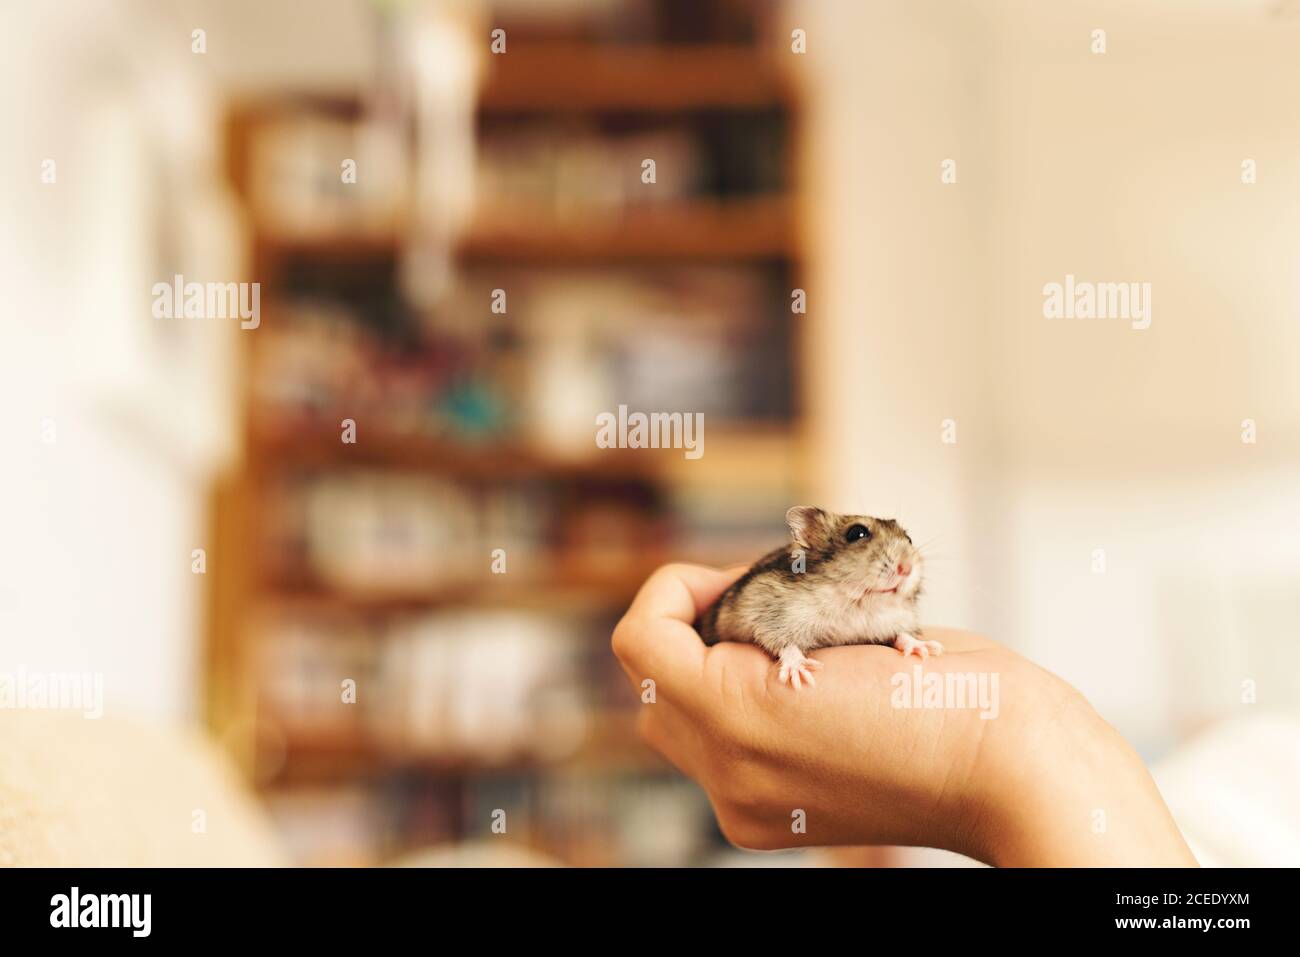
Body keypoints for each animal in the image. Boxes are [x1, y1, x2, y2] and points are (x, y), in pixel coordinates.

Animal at [696, 509, 941, 686]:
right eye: (857, 533)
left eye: (909, 539)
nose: (906, 568)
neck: (857, 603)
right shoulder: (766, 610)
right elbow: (784, 643)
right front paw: (799, 671)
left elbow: (901, 634)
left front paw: (924, 648)